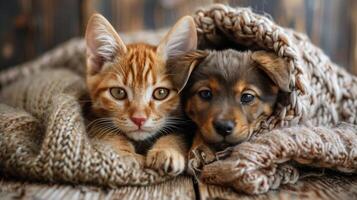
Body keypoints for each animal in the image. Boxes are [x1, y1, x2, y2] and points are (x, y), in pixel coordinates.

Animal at [85, 13, 197, 175]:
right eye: (118, 92)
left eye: (161, 93)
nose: (139, 119)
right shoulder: (92, 119)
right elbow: (107, 132)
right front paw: (124, 155)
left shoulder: (185, 126)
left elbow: (178, 135)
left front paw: (167, 150)